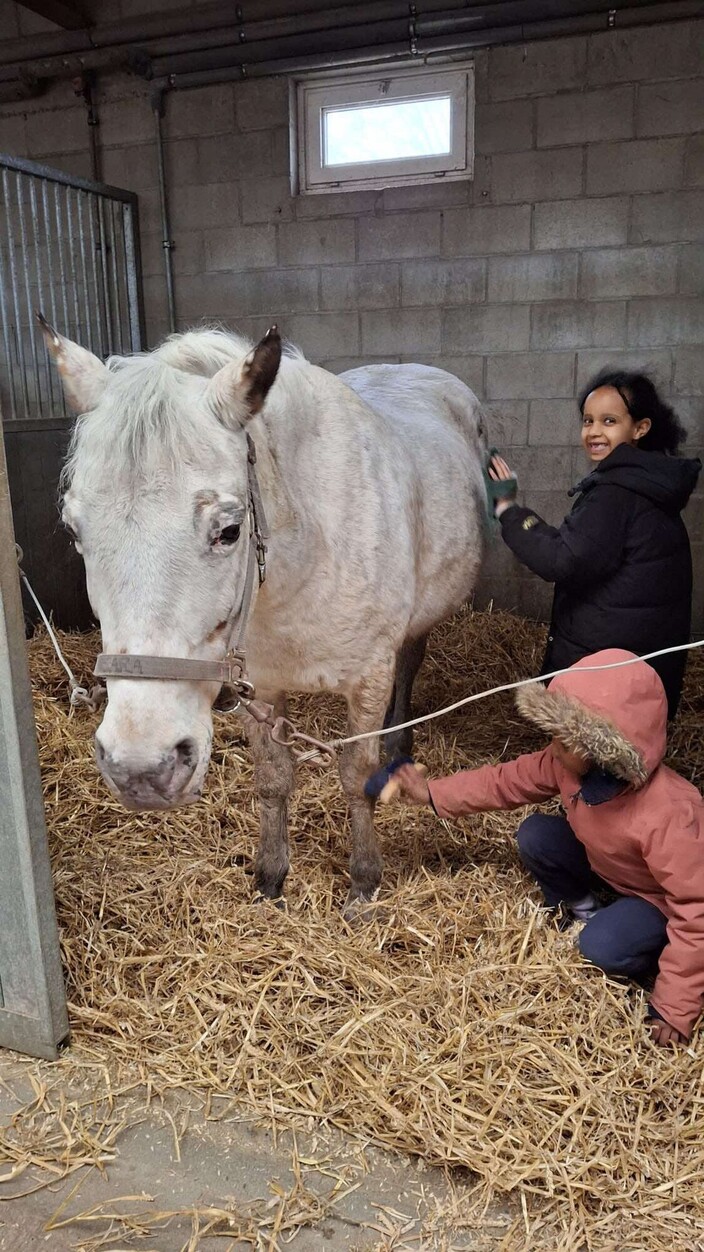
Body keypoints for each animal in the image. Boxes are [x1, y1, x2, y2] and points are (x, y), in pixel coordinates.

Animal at [39, 318, 488, 916]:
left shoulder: (369, 680)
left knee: (410, 666)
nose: (141, 769)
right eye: (74, 530)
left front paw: (364, 883)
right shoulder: (262, 686)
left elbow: (358, 778)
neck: (306, 558)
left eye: (229, 530)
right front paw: (270, 877)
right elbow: (274, 779)